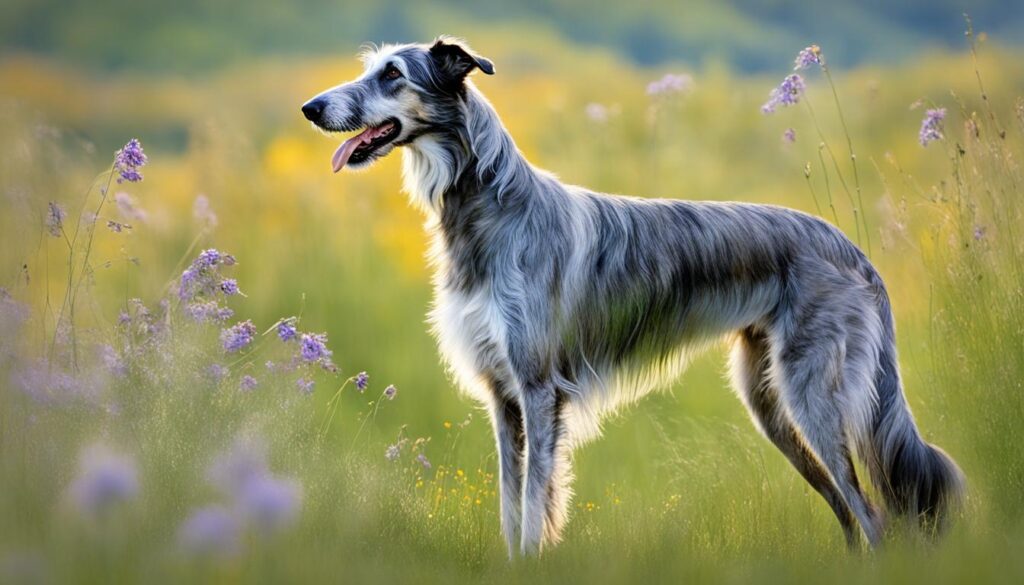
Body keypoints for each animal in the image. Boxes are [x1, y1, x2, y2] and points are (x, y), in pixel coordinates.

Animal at [299, 37, 962, 557]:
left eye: (393, 74)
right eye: (372, 68)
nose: (311, 107)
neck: (488, 205)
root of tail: (854, 252)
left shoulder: (539, 390)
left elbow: (534, 509)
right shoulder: (503, 398)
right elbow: (512, 511)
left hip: (815, 397)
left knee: (873, 516)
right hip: (770, 401)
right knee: (852, 515)